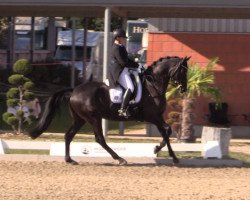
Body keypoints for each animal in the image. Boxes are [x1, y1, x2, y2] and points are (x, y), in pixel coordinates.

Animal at [28, 55, 189, 164]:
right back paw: (119, 159)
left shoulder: (157, 117)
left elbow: (166, 132)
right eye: (183, 71)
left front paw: (171, 155)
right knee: (99, 138)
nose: (184, 89)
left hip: (80, 119)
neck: (152, 85)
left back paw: (69, 159)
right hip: (93, 118)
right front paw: (158, 150)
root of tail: (74, 90)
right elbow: (167, 131)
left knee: (69, 135)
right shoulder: (152, 117)